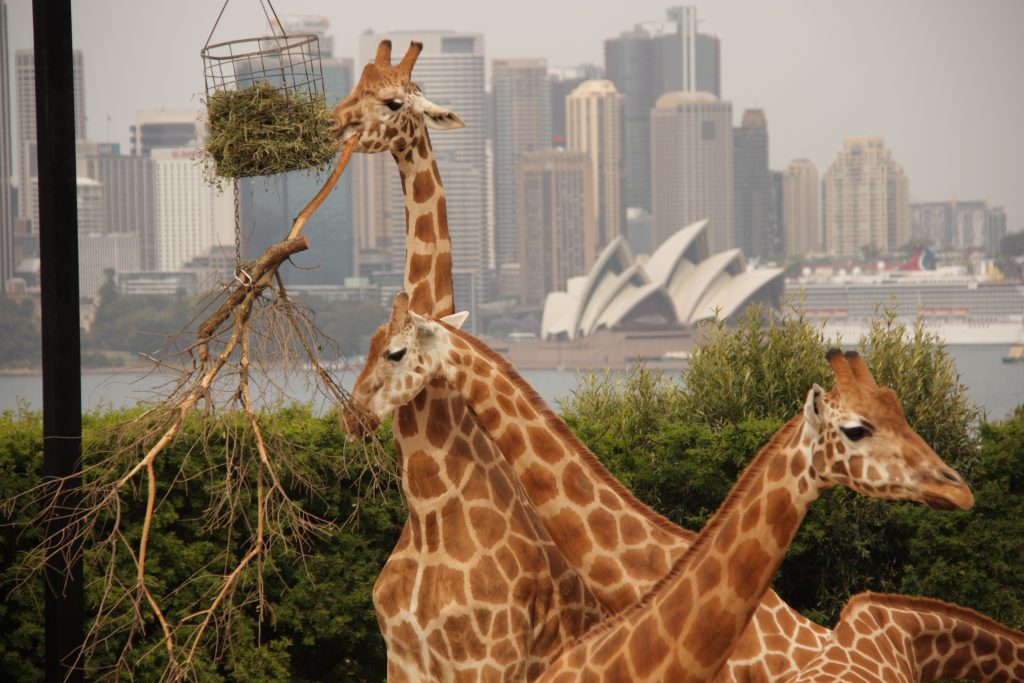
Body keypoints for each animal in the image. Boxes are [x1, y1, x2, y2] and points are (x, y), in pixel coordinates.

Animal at [332, 42, 605, 681]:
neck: (430, 512)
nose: (334, 123)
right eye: (356, 84)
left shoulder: (490, 660)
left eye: (393, 101)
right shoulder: (402, 656)